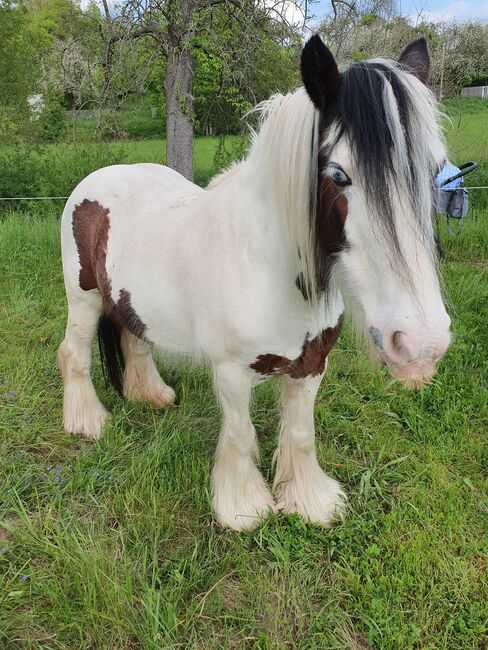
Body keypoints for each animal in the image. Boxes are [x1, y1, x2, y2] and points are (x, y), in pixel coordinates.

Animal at [59, 35, 452, 528]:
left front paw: (308, 502)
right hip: (84, 299)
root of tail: (97, 179)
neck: (270, 267)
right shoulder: (231, 373)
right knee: (73, 354)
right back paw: (87, 422)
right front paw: (244, 508)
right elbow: (240, 435)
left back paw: (152, 396)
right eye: (338, 174)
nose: (422, 342)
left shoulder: (312, 365)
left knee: (135, 340)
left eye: (436, 170)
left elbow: (300, 434)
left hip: (129, 300)